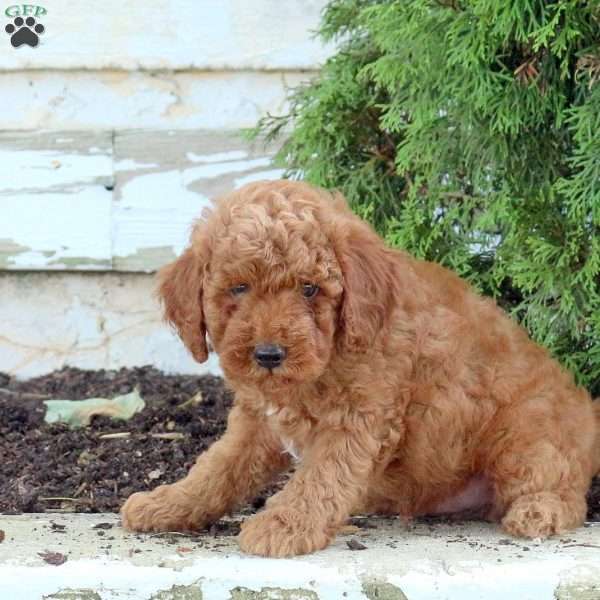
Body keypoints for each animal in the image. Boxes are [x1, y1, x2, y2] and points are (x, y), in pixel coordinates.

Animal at [122, 179, 600, 556]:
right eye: (239, 288)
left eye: (309, 289)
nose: (269, 354)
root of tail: (590, 414)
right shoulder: (256, 423)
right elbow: (217, 468)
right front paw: (169, 503)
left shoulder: (357, 418)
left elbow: (321, 477)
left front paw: (284, 525)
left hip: (524, 432)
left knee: (563, 489)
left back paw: (538, 511)